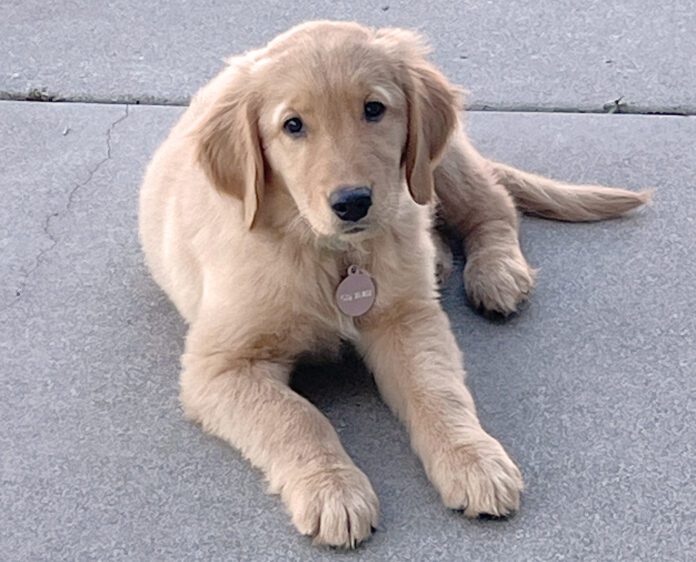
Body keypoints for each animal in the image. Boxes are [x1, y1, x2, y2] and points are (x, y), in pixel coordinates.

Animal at [139, 19, 648, 544]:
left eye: (374, 109)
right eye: (292, 125)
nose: (353, 202)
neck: (329, 252)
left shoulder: (407, 318)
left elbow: (435, 390)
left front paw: (473, 460)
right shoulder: (221, 365)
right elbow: (294, 417)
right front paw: (334, 490)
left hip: (438, 164)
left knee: (494, 206)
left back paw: (496, 272)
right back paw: (439, 259)